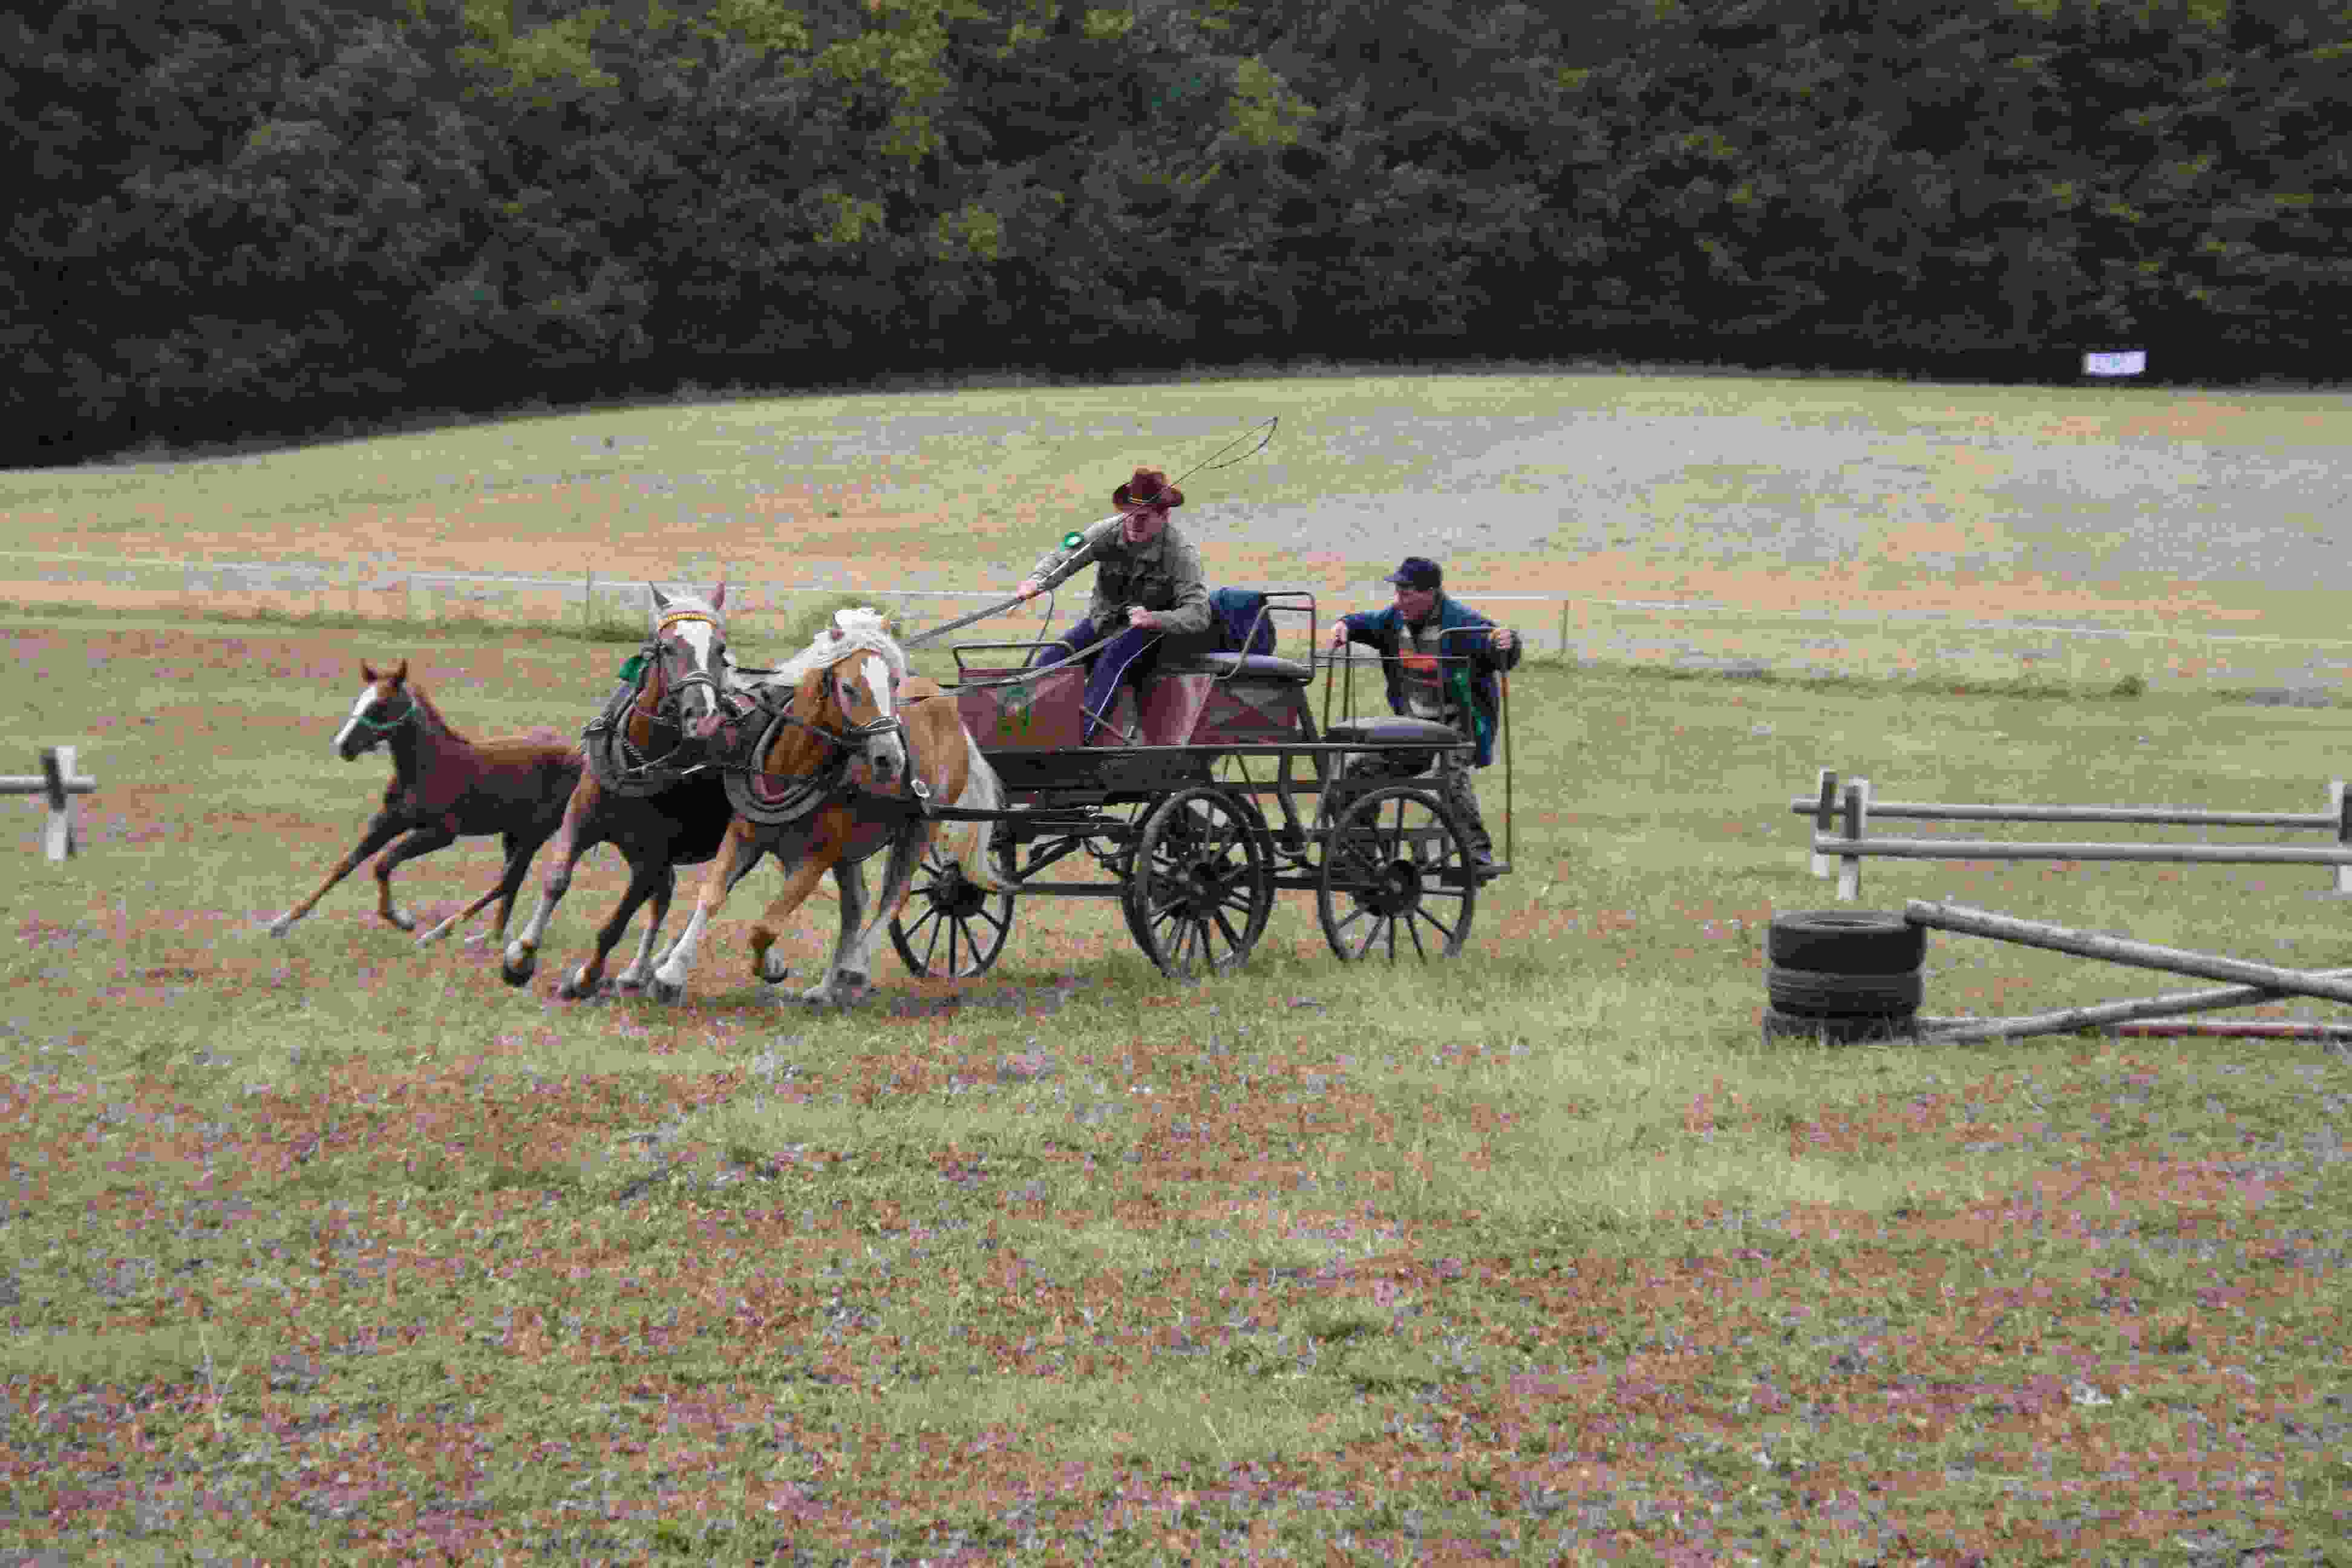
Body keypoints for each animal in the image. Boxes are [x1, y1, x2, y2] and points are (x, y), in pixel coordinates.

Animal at [263, 662, 578, 945]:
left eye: (378, 706)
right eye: (359, 700)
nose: (343, 746)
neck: (423, 768)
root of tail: (579, 756)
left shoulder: (441, 833)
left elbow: (383, 863)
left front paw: (401, 919)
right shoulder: (388, 822)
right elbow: (345, 865)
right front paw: (281, 922)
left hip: (535, 833)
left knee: (506, 882)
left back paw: (438, 933)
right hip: (513, 834)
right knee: (511, 883)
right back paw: (490, 937)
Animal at [501, 583, 766, 1001]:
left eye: (720, 649)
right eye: (668, 647)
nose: (703, 717)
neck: (640, 759)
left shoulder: (653, 857)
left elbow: (617, 922)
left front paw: (586, 977)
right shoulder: (582, 815)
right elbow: (557, 881)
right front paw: (521, 957)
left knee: (698, 896)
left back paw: (658, 970)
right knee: (664, 896)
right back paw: (636, 972)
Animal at [649, 606, 1016, 1011]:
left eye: (894, 683)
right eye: (848, 688)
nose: (891, 759)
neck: (790, 765)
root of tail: (944, 701)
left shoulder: (819, 855)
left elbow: (767, 925)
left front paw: (769, 966)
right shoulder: (744, 834)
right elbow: (713, 896)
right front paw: (669, 975)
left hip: (919, 828)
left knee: (895, 896)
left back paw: (853, 971)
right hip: (852, 849)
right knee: (856, 905)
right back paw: (828, 986)